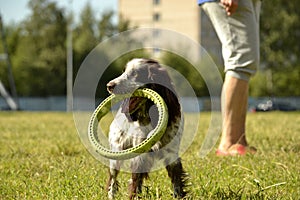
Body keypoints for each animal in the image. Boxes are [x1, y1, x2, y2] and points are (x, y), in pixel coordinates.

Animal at [105, 57, 186, 198]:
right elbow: (134, 183)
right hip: (116, 154)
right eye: (124, 71)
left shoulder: (172, 154)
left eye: (135, 73)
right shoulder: (140, 156)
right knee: (113, 179)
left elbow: (177, 181)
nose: (109, 86)